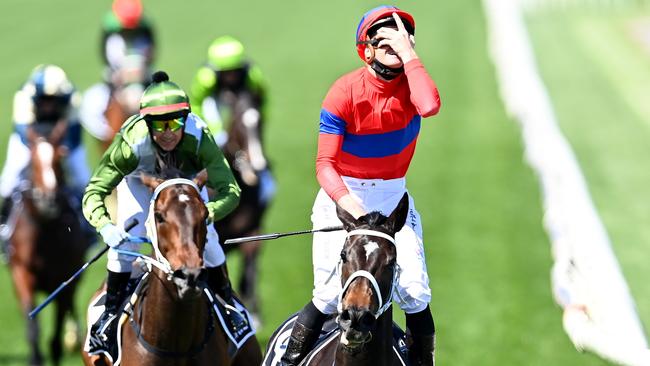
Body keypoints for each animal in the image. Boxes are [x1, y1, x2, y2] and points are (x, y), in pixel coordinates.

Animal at [6, 120, 87, 366]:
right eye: (33, 158)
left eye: (60, 157)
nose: (48, 199)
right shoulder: (21, 272)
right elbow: (32, 326)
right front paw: (35, 358)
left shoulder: (65, 278)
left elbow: (56, 338)